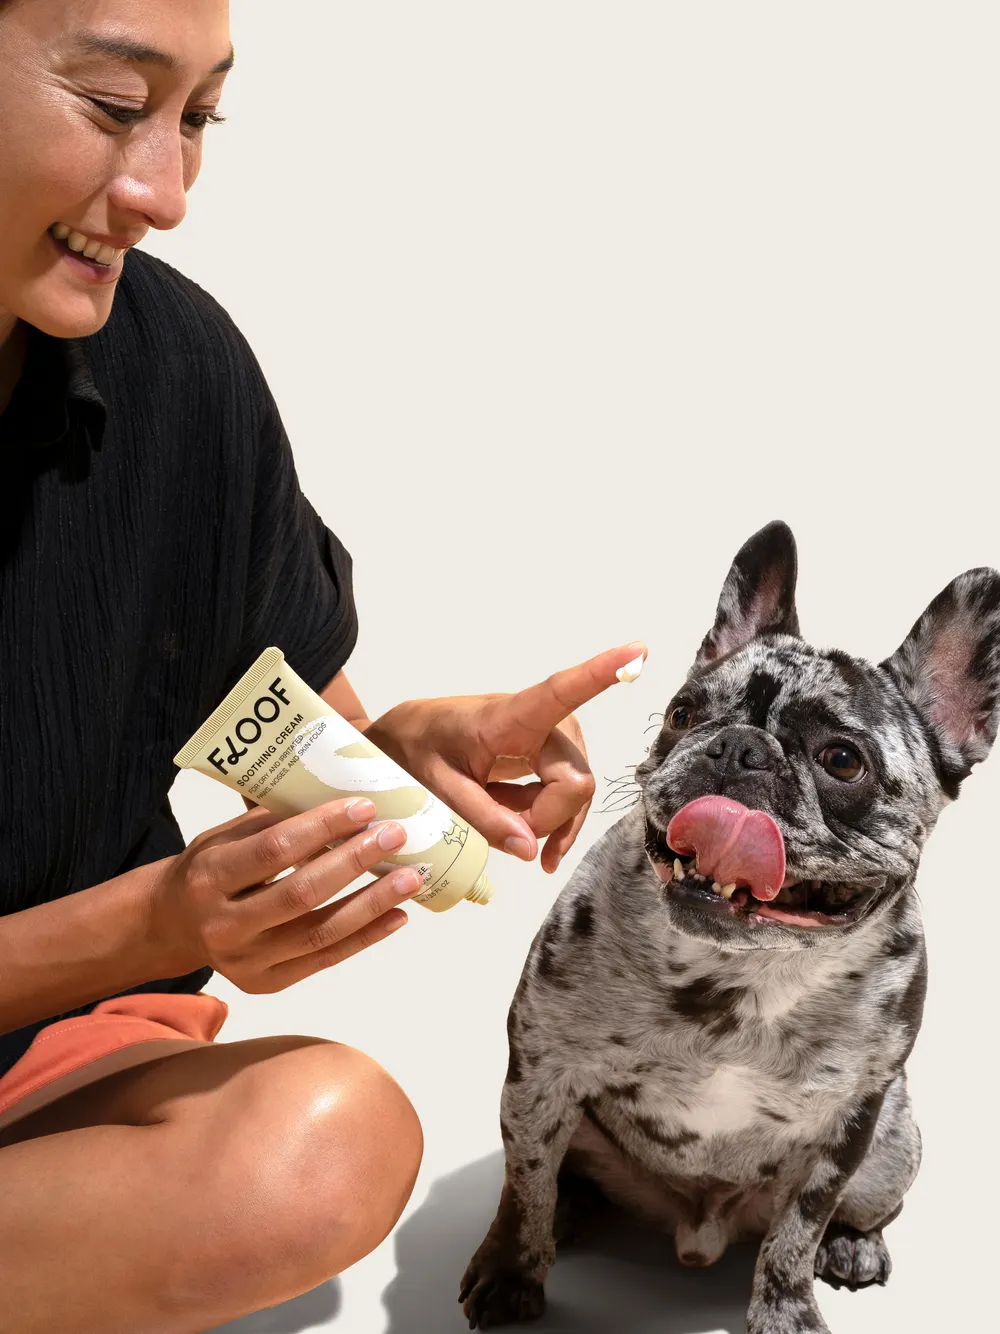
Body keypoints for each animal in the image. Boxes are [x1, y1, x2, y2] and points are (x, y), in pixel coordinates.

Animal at [461, 520, 1000, 1334]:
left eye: (843, 760)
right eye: (684, 713)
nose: (737, 747)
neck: (748, 968)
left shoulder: (845, 1127)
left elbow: (797, 1230)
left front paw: (786, 1311)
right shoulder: (541, 1073)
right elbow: (523, 1184)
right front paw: (511, 1272)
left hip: (894, 1145)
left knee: (856, 1212)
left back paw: (854, 1246)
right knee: (554, 1173)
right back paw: (569, 1211)